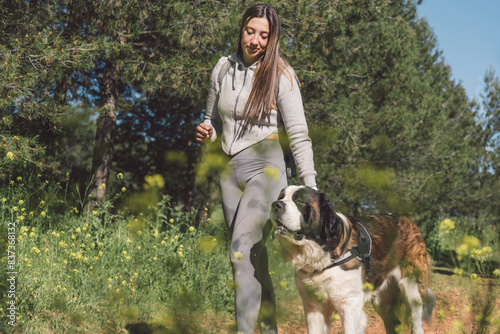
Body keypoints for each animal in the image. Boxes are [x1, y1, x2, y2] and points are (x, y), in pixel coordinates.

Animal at [270, 187, 434, 332]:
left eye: (299, 201)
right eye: (280, 197)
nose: (276, 204)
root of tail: (408, 221)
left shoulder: (350, 305)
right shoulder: (313, 306)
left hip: (412, 289)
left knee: (416, 322)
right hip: (381, 301)